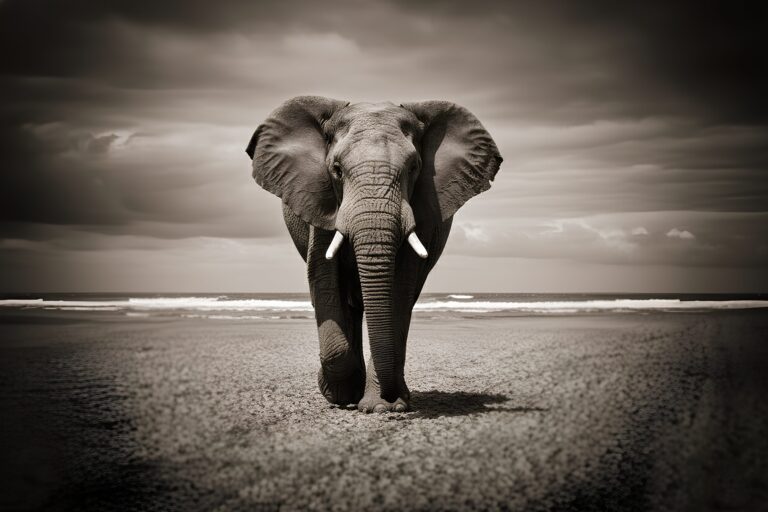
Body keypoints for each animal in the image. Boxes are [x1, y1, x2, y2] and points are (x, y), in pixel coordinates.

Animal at [246, 96, 502, 413]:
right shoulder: (321, 203)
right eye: (336, 169)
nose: (391, 399)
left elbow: (400, 288)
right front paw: (341, 398)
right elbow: (323, 278)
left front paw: (383, 407)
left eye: (414, 167)